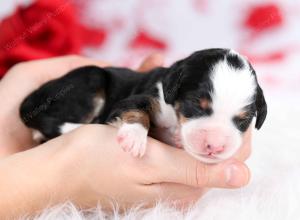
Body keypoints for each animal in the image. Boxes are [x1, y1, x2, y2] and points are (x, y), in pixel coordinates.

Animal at [19, 49, 268, 164]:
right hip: (89, 80)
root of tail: (30, 100)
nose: (214, 146)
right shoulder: (139, 99)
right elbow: (137, 110)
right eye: (195, 105)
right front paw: (133, 138)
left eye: (243, 120)